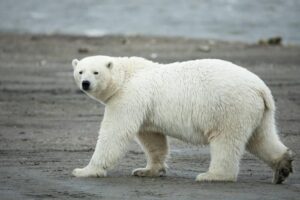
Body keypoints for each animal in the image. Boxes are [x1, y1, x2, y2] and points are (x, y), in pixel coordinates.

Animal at [72, 55, 292, 184]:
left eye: (96, 72)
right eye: (80, 71)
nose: (85, 83)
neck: (126, 75)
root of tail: (261, 88)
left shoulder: (129, 96)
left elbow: (114, 133)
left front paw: (84, 170)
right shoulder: (146, 106)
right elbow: (152, 138)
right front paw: (147, 170)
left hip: (230, 107)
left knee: (226, 141)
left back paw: (212, 175)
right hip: (257, 111)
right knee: (261, 138)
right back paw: (283, 166)